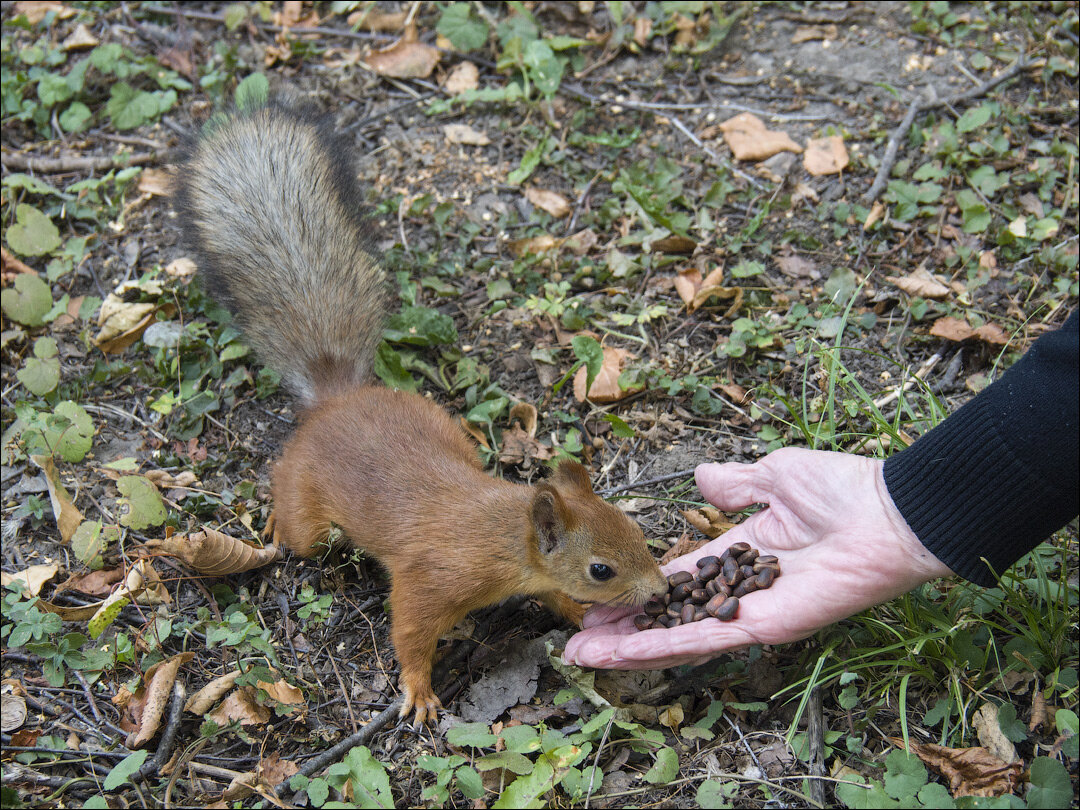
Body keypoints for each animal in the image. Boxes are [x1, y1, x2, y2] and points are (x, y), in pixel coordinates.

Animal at [174, 98, 665, 725]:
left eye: (635, 529)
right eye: (601, 568)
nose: (660, 590)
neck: (505, 536)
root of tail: (339, 399)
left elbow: (554, 595)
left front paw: (582, 617)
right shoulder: (433, 579)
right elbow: (410, 629)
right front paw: (418, 690)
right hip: (310, 512)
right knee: (294, 513)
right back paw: (276, 523)